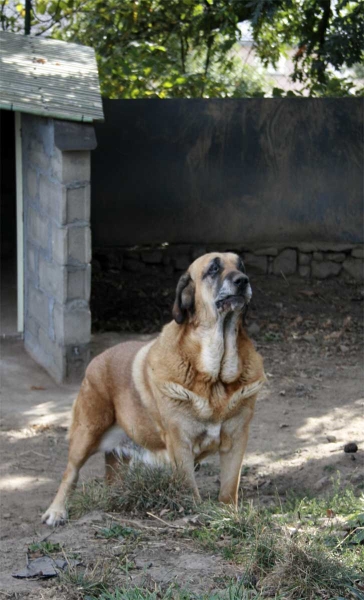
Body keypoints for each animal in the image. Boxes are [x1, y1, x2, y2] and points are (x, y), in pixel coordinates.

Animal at [42, 253, 264, 524]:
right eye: (213, 268)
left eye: (240, 265)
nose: (242, 280)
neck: (216, 377)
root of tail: (97, 359)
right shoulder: (180, 443)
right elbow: (190, 487)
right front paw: (195, 515)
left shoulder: (236, 440)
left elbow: (229, 488)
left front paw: (228, 517)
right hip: (86, 432)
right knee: (70, 473)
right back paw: (56, 511)